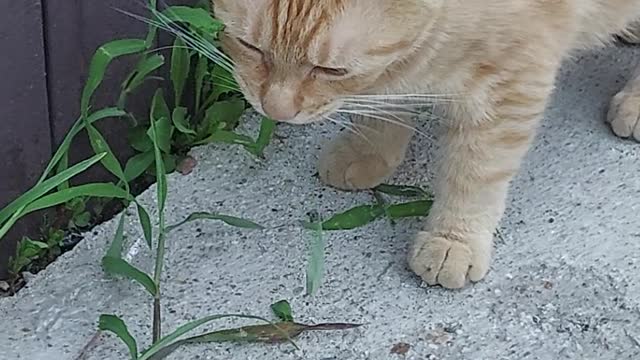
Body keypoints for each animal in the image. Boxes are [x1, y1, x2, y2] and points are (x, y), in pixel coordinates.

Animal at [212, 0, 640, 288]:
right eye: (249, 47)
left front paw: (453, 239)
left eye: (331, 69)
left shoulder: (512, 83)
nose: (275, 109)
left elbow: (475, 171)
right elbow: (384, 97)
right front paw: (368, 151)